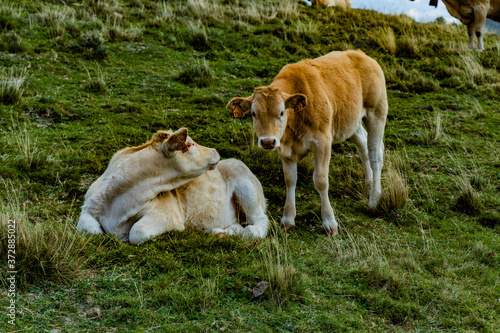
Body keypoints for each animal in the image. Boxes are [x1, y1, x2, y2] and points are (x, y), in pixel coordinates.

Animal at [76, 127, 270, 244]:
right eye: (190, 144)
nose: (215, 151)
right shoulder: (88, 206)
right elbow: (91, 230)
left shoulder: (166, 214)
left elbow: (137, 231)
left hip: (247, 190)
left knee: (259, 222)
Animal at [229, 50, 388, 235]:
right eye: (254, 114)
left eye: (281, 112)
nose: (268, 141)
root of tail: (360, 54)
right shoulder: (284, 149)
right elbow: (290, 180)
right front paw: (288, 218)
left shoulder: (323, 142)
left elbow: (320, 180)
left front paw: (329, 222)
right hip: (351, 122)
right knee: (364, 147)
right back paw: (369, 185)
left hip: (377, 112)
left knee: (375, 153)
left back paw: (374, 198)